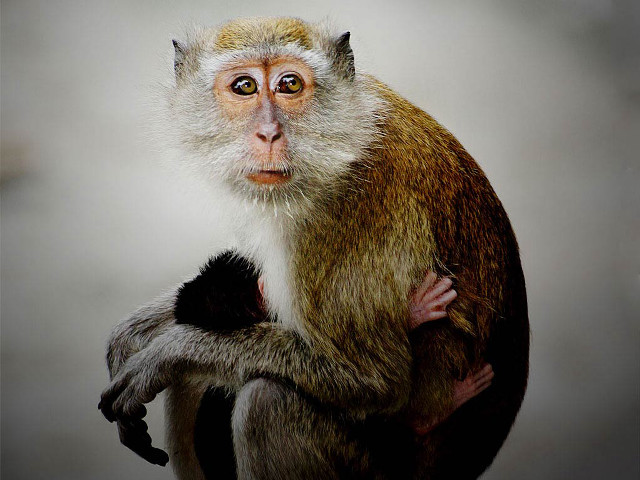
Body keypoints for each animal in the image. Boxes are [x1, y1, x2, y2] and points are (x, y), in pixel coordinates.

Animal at [100, 17, 529, 480]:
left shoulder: (343, 215)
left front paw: (168, 352)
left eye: (289, 84)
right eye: (244, 87)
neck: (342, 145)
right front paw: (133, 334)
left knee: (265, 403)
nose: (269, 133)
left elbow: (373, 380)